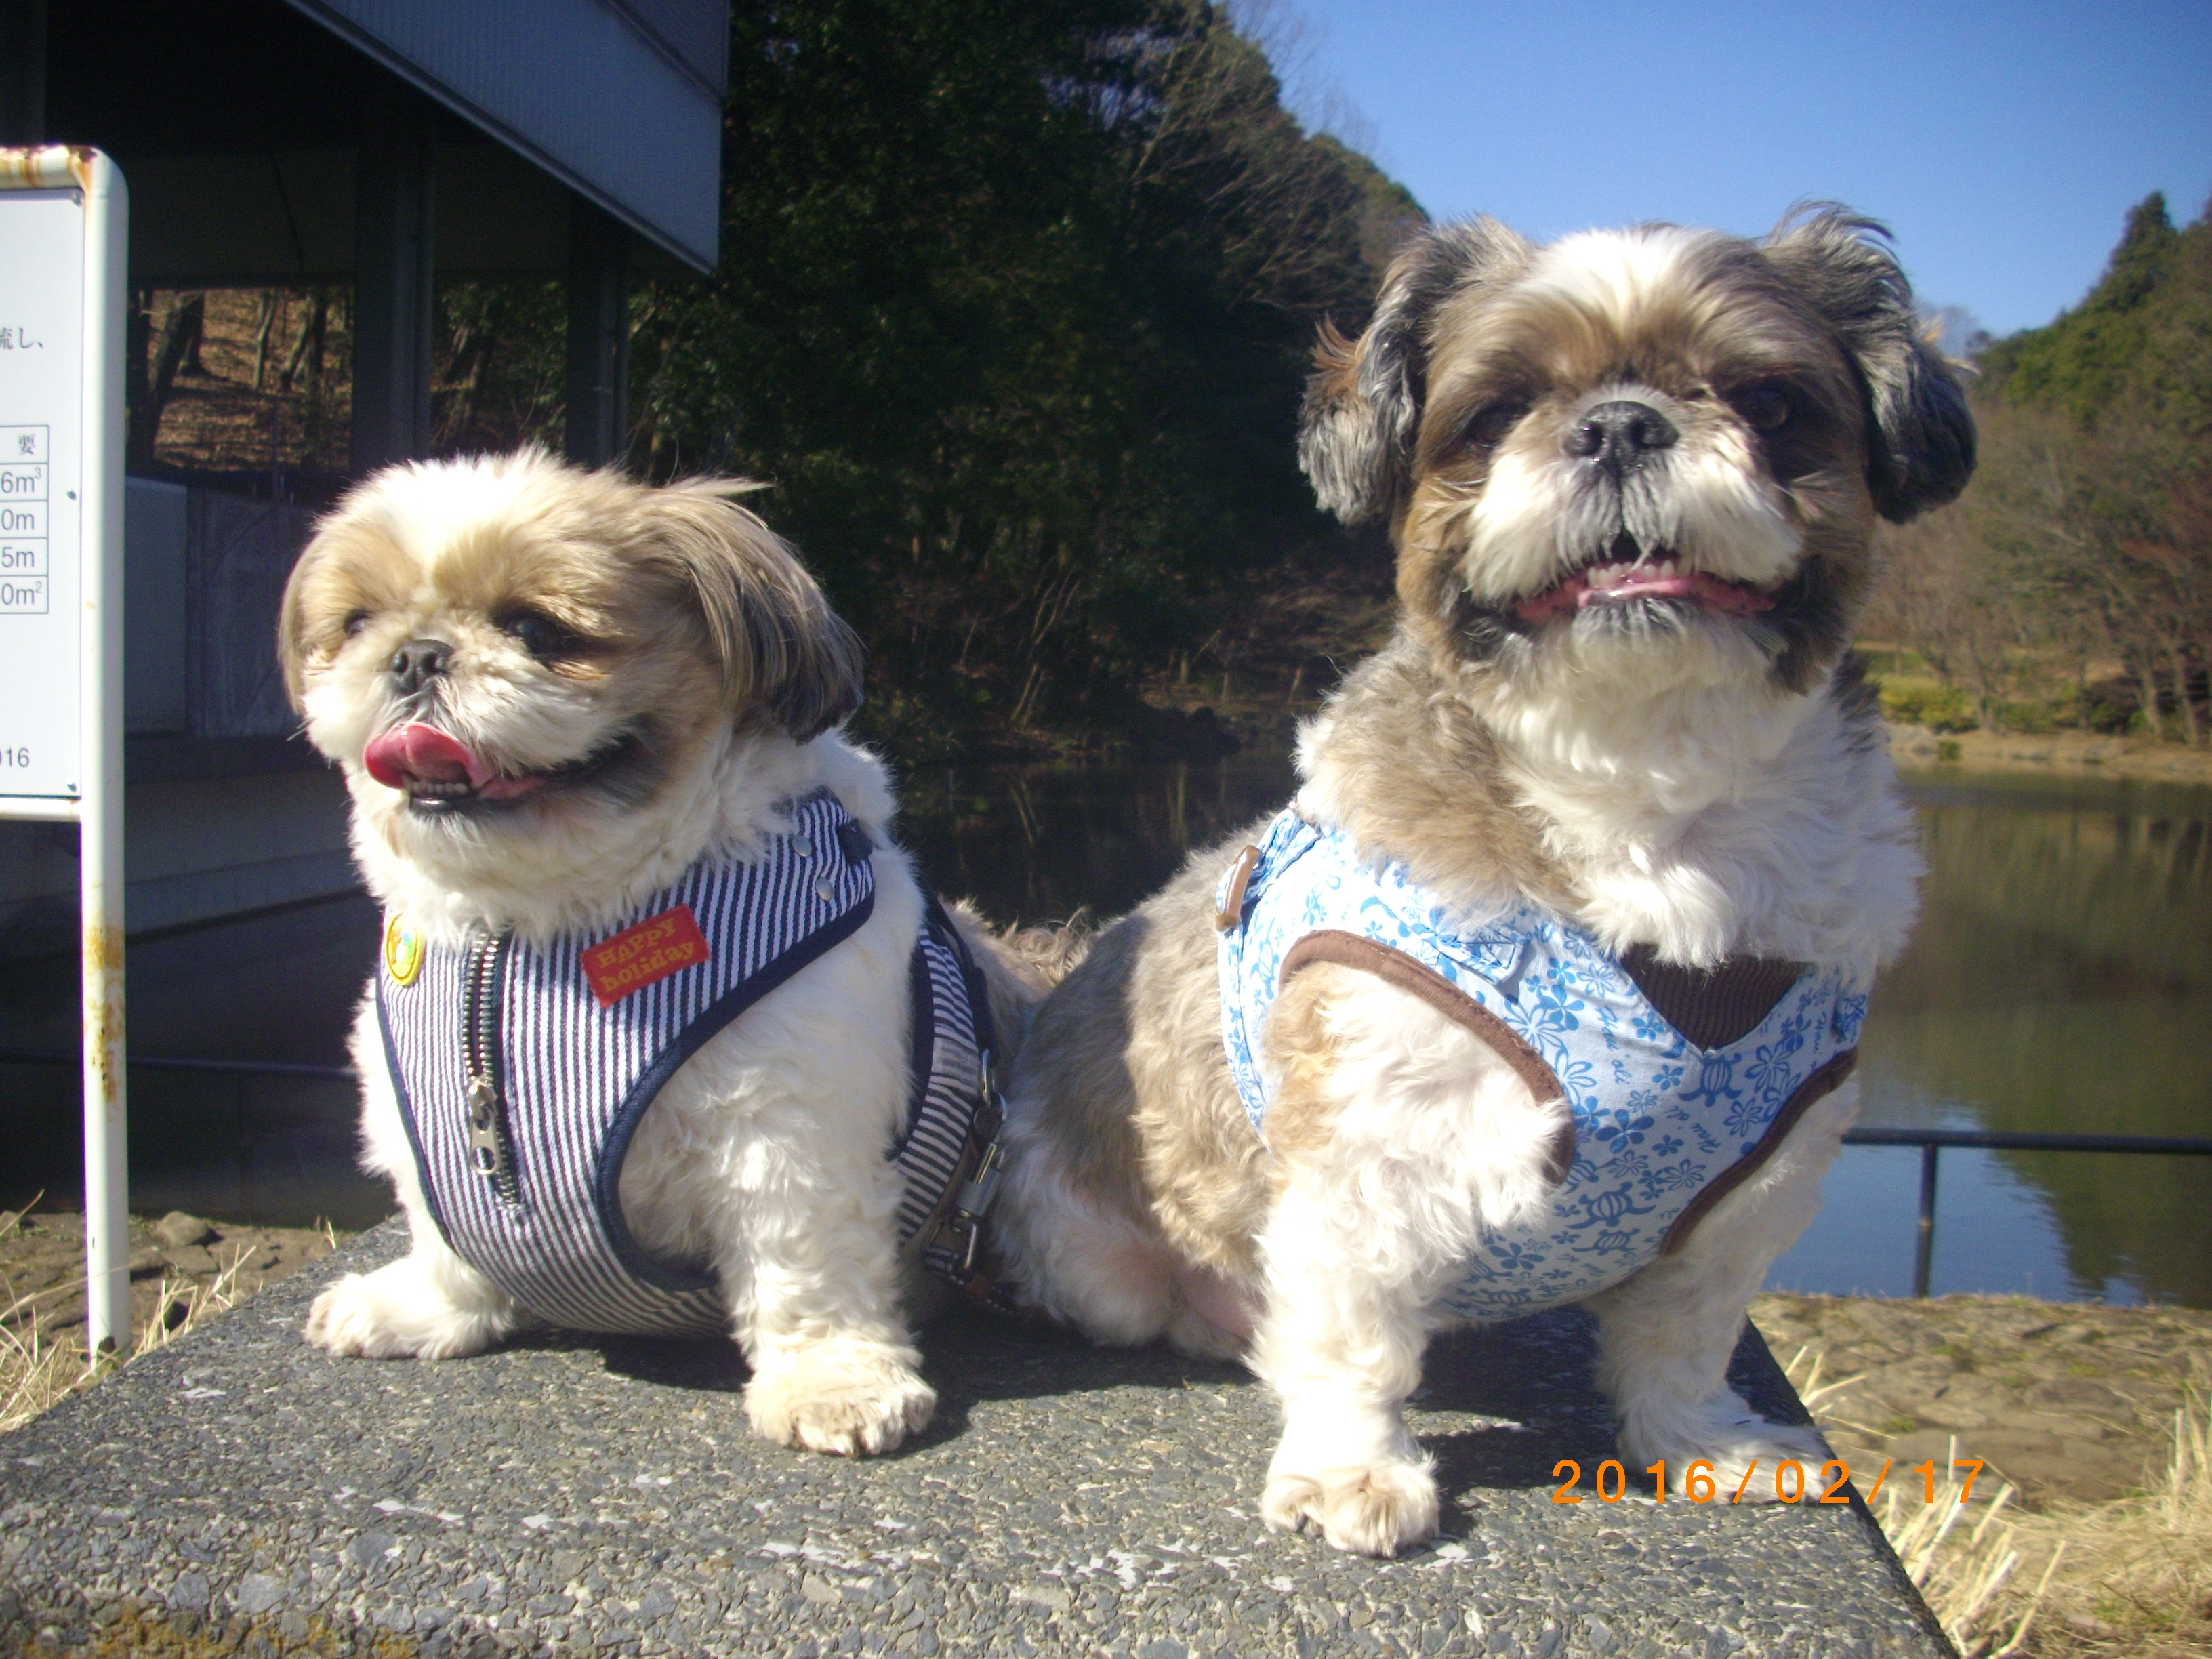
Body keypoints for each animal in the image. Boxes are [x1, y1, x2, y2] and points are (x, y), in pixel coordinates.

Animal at [995, 207, 1982, 1557]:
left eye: (1770, 402)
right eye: (1494, 409)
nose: (1619, 424)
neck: (1646, 803)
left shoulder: (1761, 1175)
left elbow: (1686, 1330)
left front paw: (1701, 1439)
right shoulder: (1366, 1132)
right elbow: (1350, 1330)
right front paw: (1351, 1469)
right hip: (1097, 1256)